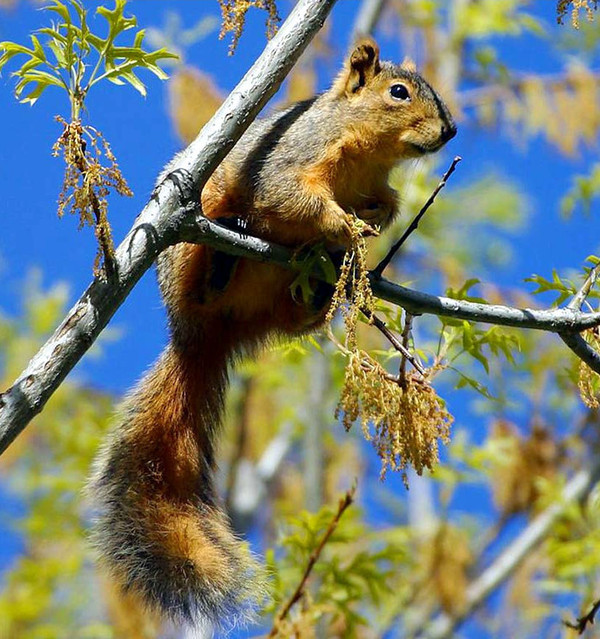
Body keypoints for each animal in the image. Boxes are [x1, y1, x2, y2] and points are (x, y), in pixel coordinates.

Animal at [88, 37, 454, 632]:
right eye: (398, 92)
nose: (450, 131)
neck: (367, 153)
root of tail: (200, 336)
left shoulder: (377, 185)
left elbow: (386, 205)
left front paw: (368, 226)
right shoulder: (290, 159)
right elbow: (291, 199)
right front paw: (344, 226)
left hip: (280, 311)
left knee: (295, 312)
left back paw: (316, 290)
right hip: (192, 236)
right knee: (209, 259)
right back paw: (222, 256)